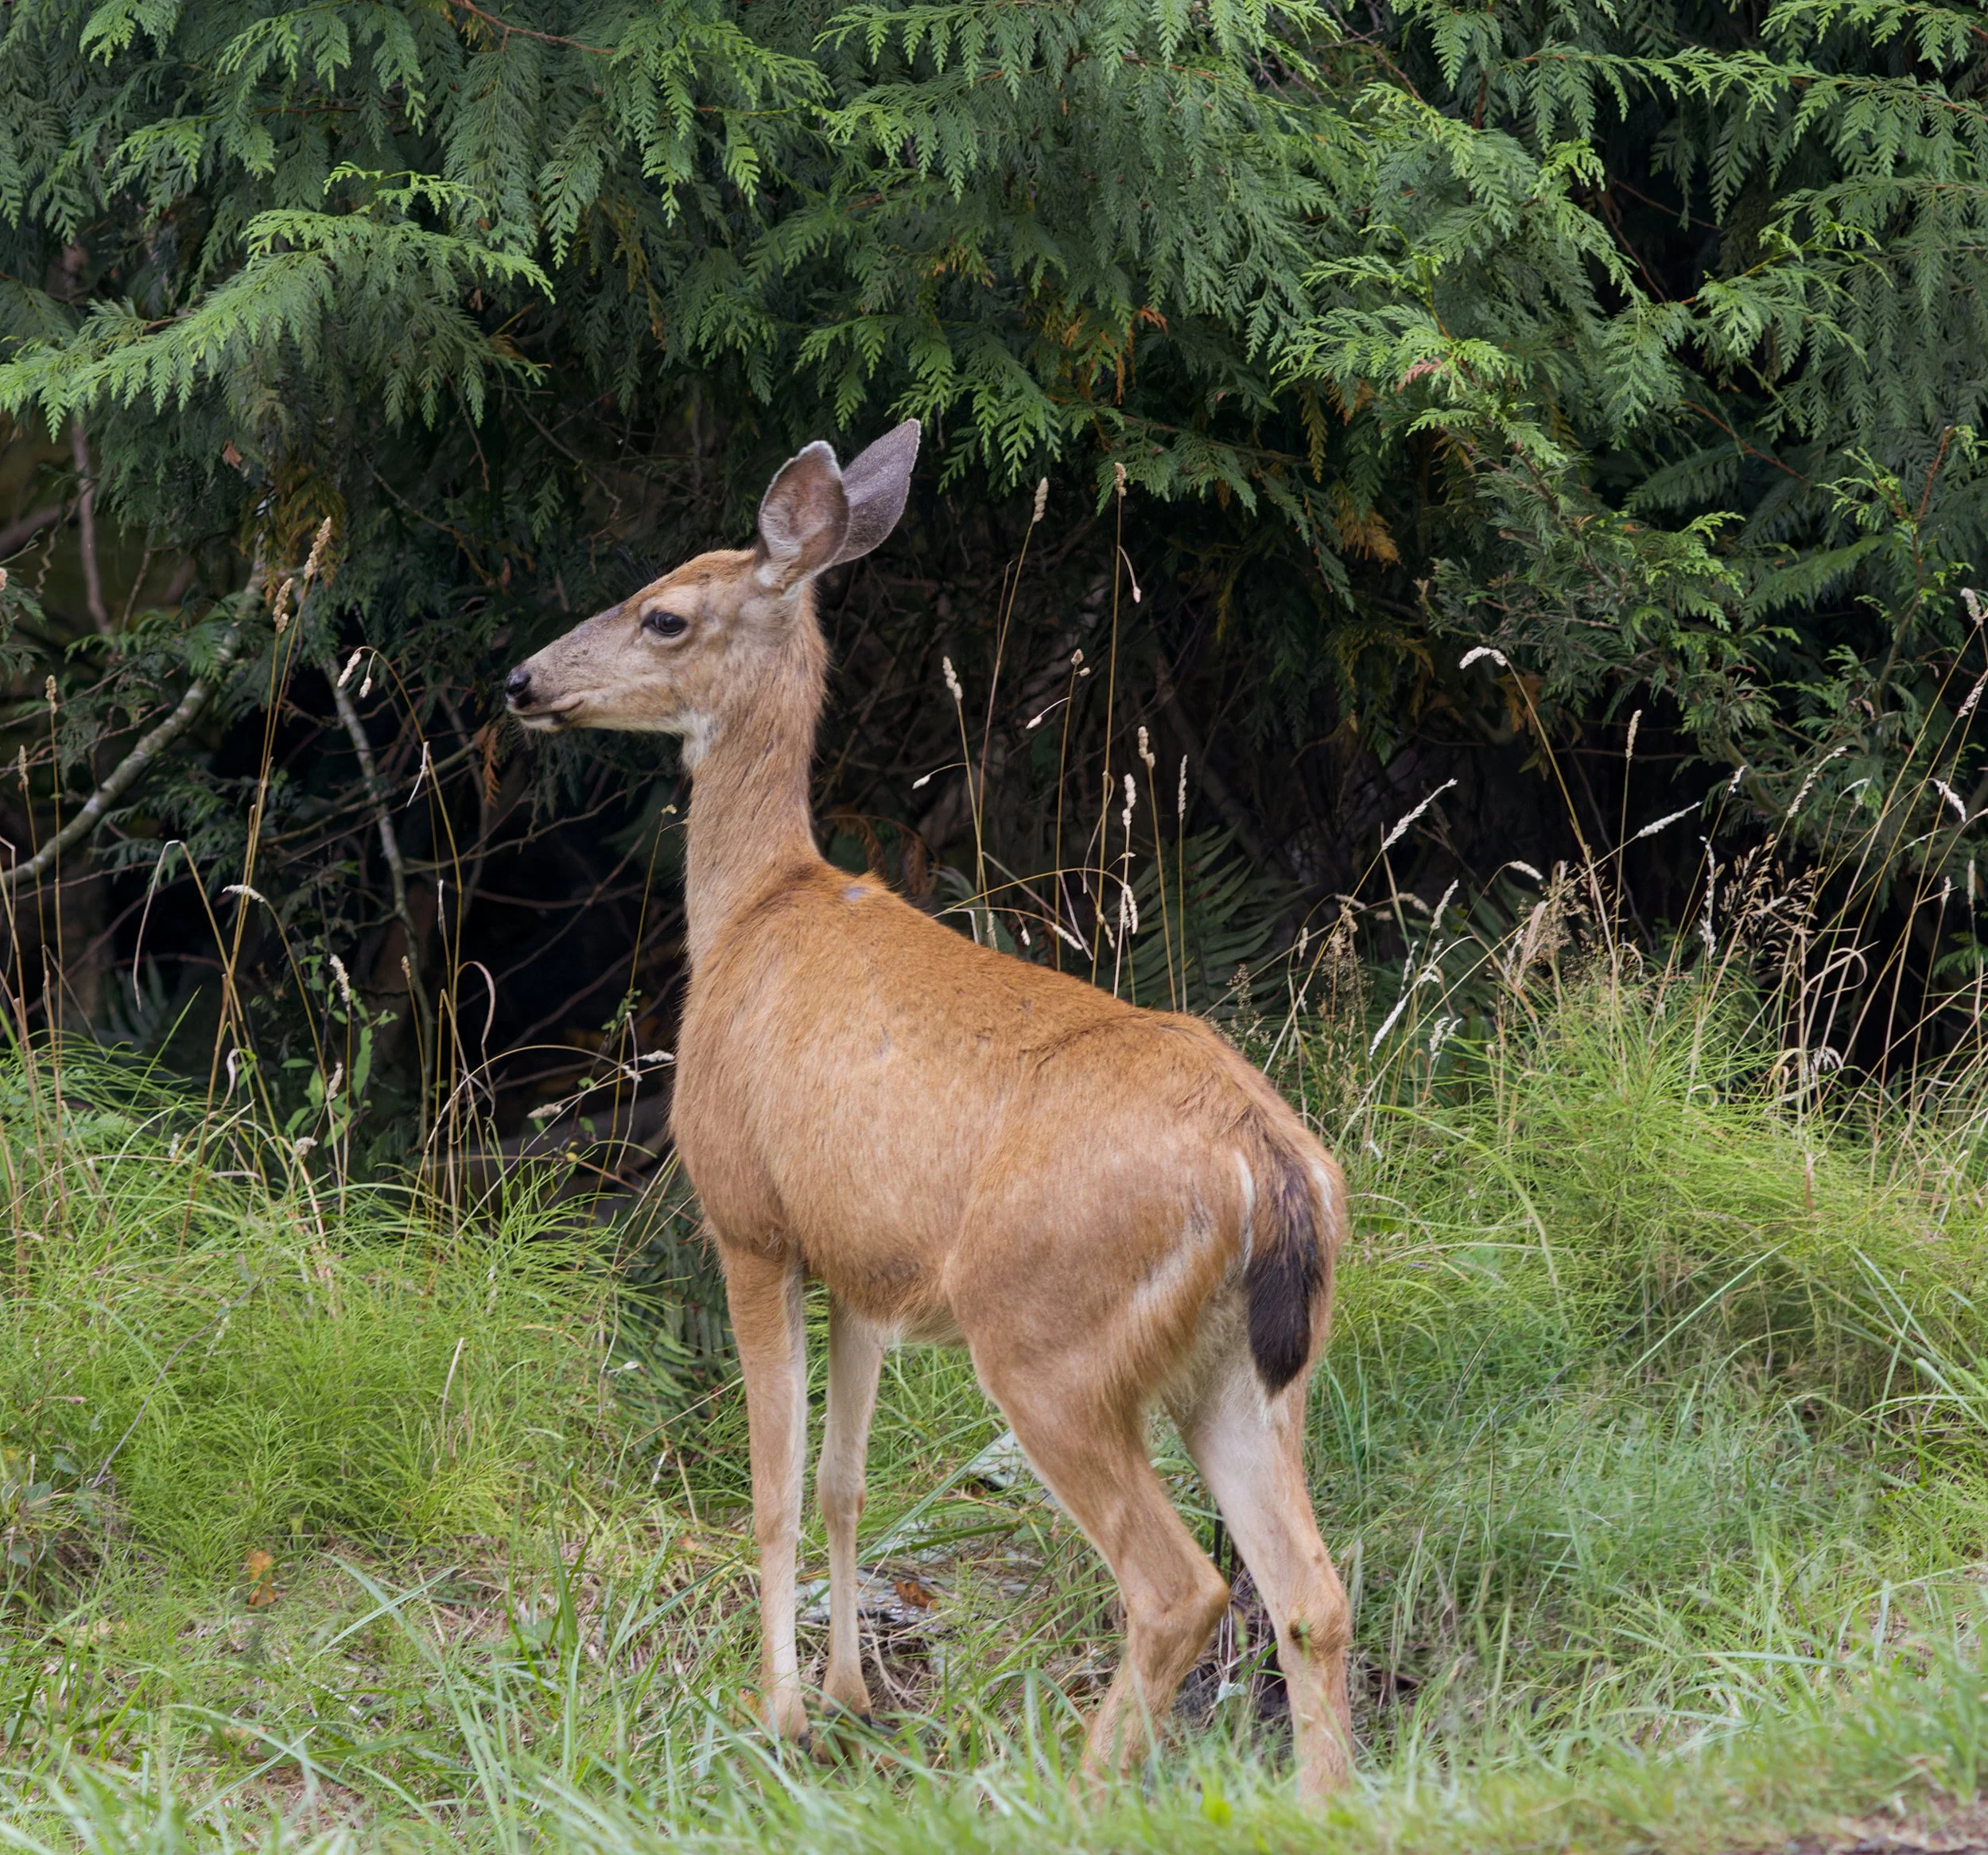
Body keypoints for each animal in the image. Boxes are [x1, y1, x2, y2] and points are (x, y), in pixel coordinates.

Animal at [504, 421, 1355, 1798]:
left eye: (665, 613)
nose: (523, 680)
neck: (752, 910)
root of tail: (1271, 1171)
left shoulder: (750, 1217)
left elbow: (773, 1487)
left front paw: (782, 1719)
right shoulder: (865, 1265)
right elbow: (845, 1481)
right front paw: (852, 1698)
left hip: (1049, 1339)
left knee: (1179, 1586)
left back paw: (1075, 1786)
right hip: (1251, 1370)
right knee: (1309, 1593)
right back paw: (1322, 1800)